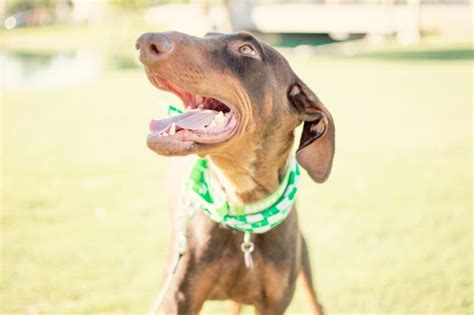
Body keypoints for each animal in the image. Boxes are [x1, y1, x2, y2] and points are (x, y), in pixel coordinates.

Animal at [135, 31, 336, 315]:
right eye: (207, 35)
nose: (146, 41)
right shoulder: (177, 301)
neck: (242, 202)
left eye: (247, 49)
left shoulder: (273, 305)